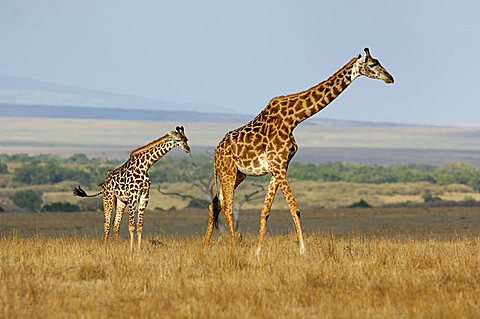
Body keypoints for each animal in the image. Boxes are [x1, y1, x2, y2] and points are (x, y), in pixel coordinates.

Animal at [202, 47, 394, 256]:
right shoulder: (278, 166)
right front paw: (303, 250)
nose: (390, 78)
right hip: (228, 171)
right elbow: (295, 208)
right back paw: (234, 247)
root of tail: (216, 152)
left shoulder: (279, 167)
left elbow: (265, 211)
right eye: (373, 64)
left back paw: (205, 245)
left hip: (238, 174)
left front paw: (258, 251)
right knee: (227, 205)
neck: (294, 119)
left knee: (215, 203)